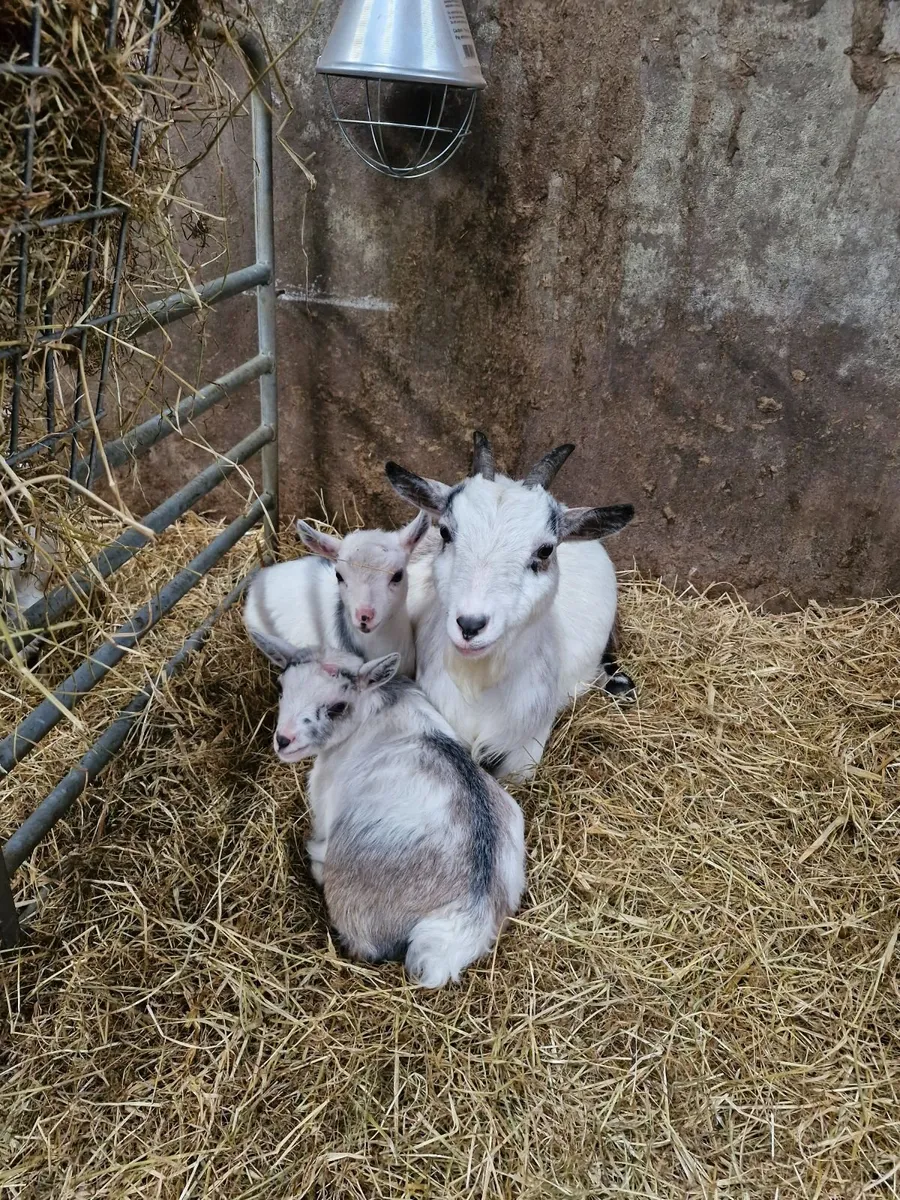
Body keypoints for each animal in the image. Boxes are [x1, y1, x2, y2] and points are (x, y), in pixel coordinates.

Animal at [249, 631, 526, 988]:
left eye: (338, 707)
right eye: (282, 688)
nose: (284, 740)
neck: (375, 713)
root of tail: (466, 917)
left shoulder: (325, 803)